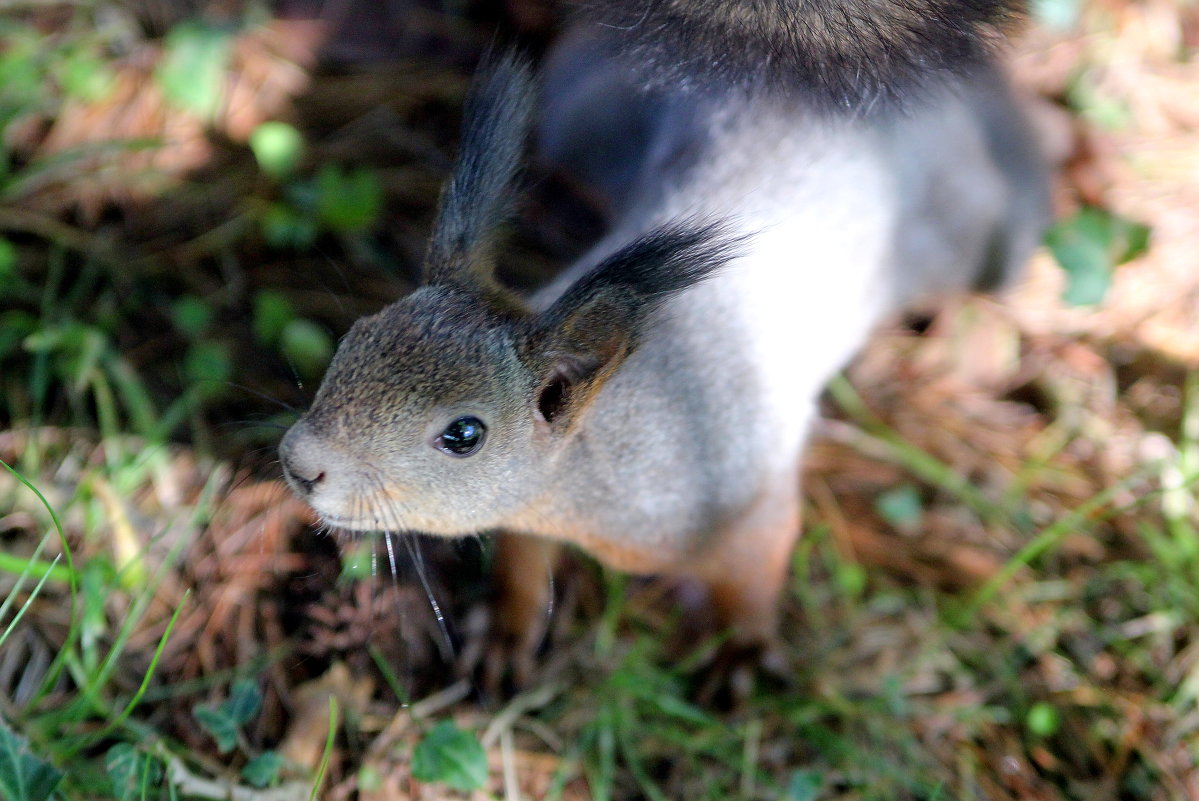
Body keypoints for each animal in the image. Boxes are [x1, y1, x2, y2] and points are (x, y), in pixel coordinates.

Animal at [280, 0, 1050, 690]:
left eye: (464, 434)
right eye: (356, 335)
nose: (300, 463)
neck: (600, 456)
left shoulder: (748, 494)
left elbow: (758, 569)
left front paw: (742, 650)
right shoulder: (529, 509)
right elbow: (523, 561)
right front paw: (505, 629)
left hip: (982, 227)